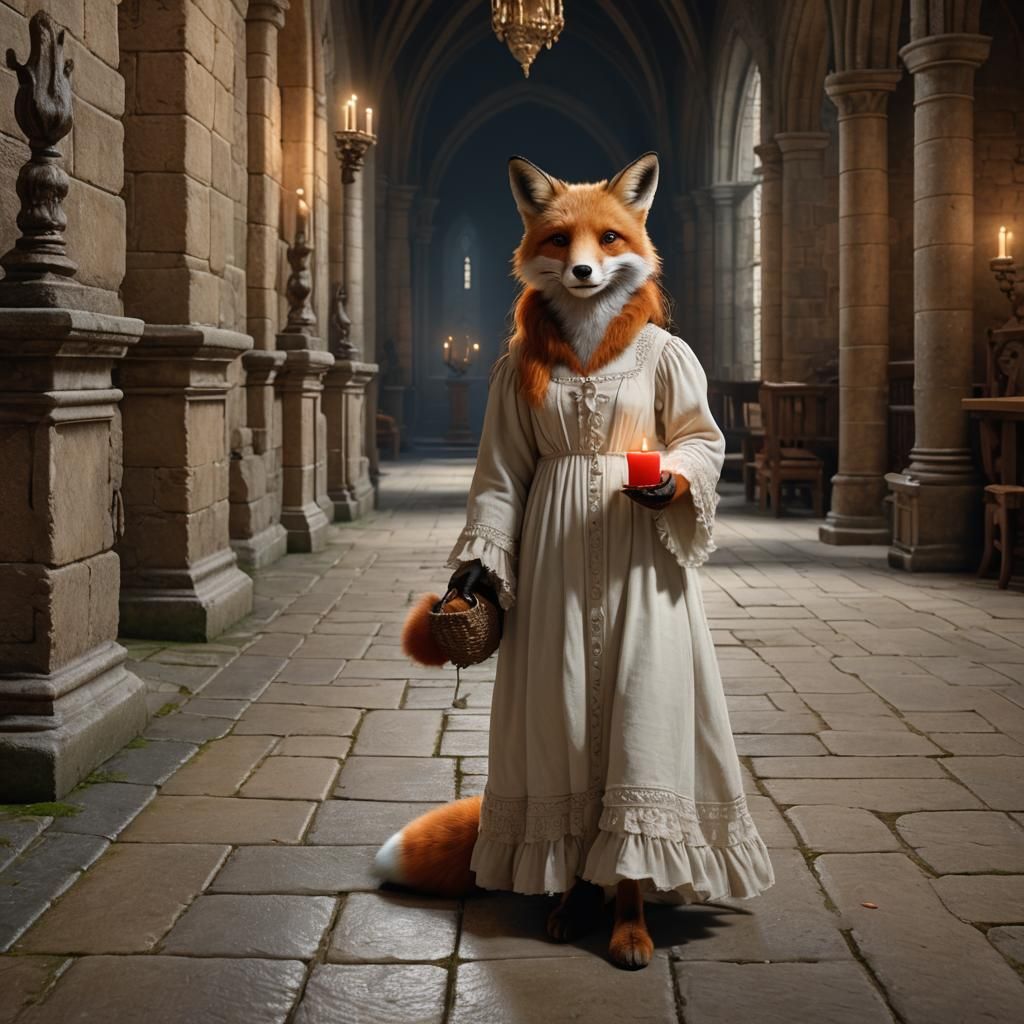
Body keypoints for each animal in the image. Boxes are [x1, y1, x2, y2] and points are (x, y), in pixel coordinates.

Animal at [376, 152, 673, 971]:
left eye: (610, 238)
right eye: (559, 238)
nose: (582, 272)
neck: (592, 344)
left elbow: (699, 441)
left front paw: (631, 927)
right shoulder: (508, 406)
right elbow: (496, 498)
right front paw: (470, 586)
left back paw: (625, 915)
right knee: (570, 856)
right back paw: (570, 904)